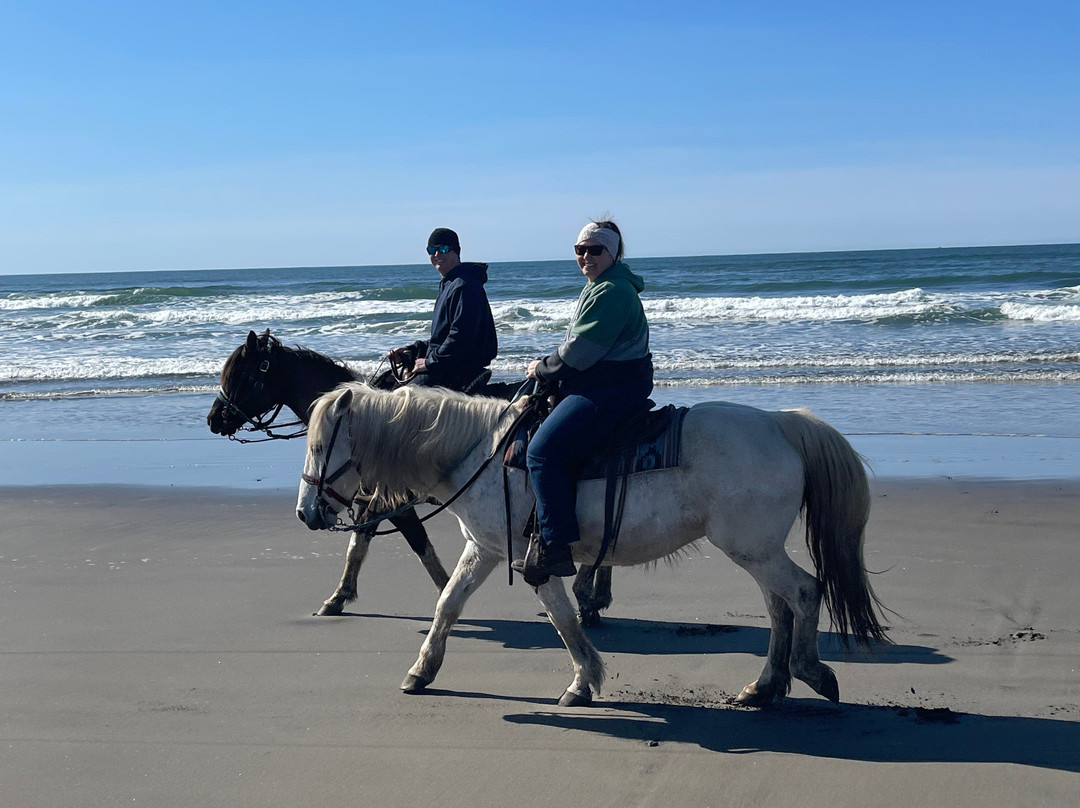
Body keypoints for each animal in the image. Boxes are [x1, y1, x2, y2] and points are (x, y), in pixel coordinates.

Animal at [206, 329, 615, 623]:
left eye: (242, 374)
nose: (214, 418)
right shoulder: (376, 502)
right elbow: (361, 546)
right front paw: (341, 596)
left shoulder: (393, 503)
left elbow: (411, 545)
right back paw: (595, 595)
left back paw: (589, 596)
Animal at [296, 382, 889, 707]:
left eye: (321, 445)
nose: (306, 512)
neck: (481, 452)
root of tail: (782, 424)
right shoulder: (485, 549)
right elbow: (447, 604)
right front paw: (421, 672)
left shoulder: (529, 557)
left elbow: (563, 618)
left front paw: (583, 682)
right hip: (756, 549)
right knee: (779, 605)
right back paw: (764, 687)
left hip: (752, 548)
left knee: (804, 592)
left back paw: (811, 671)